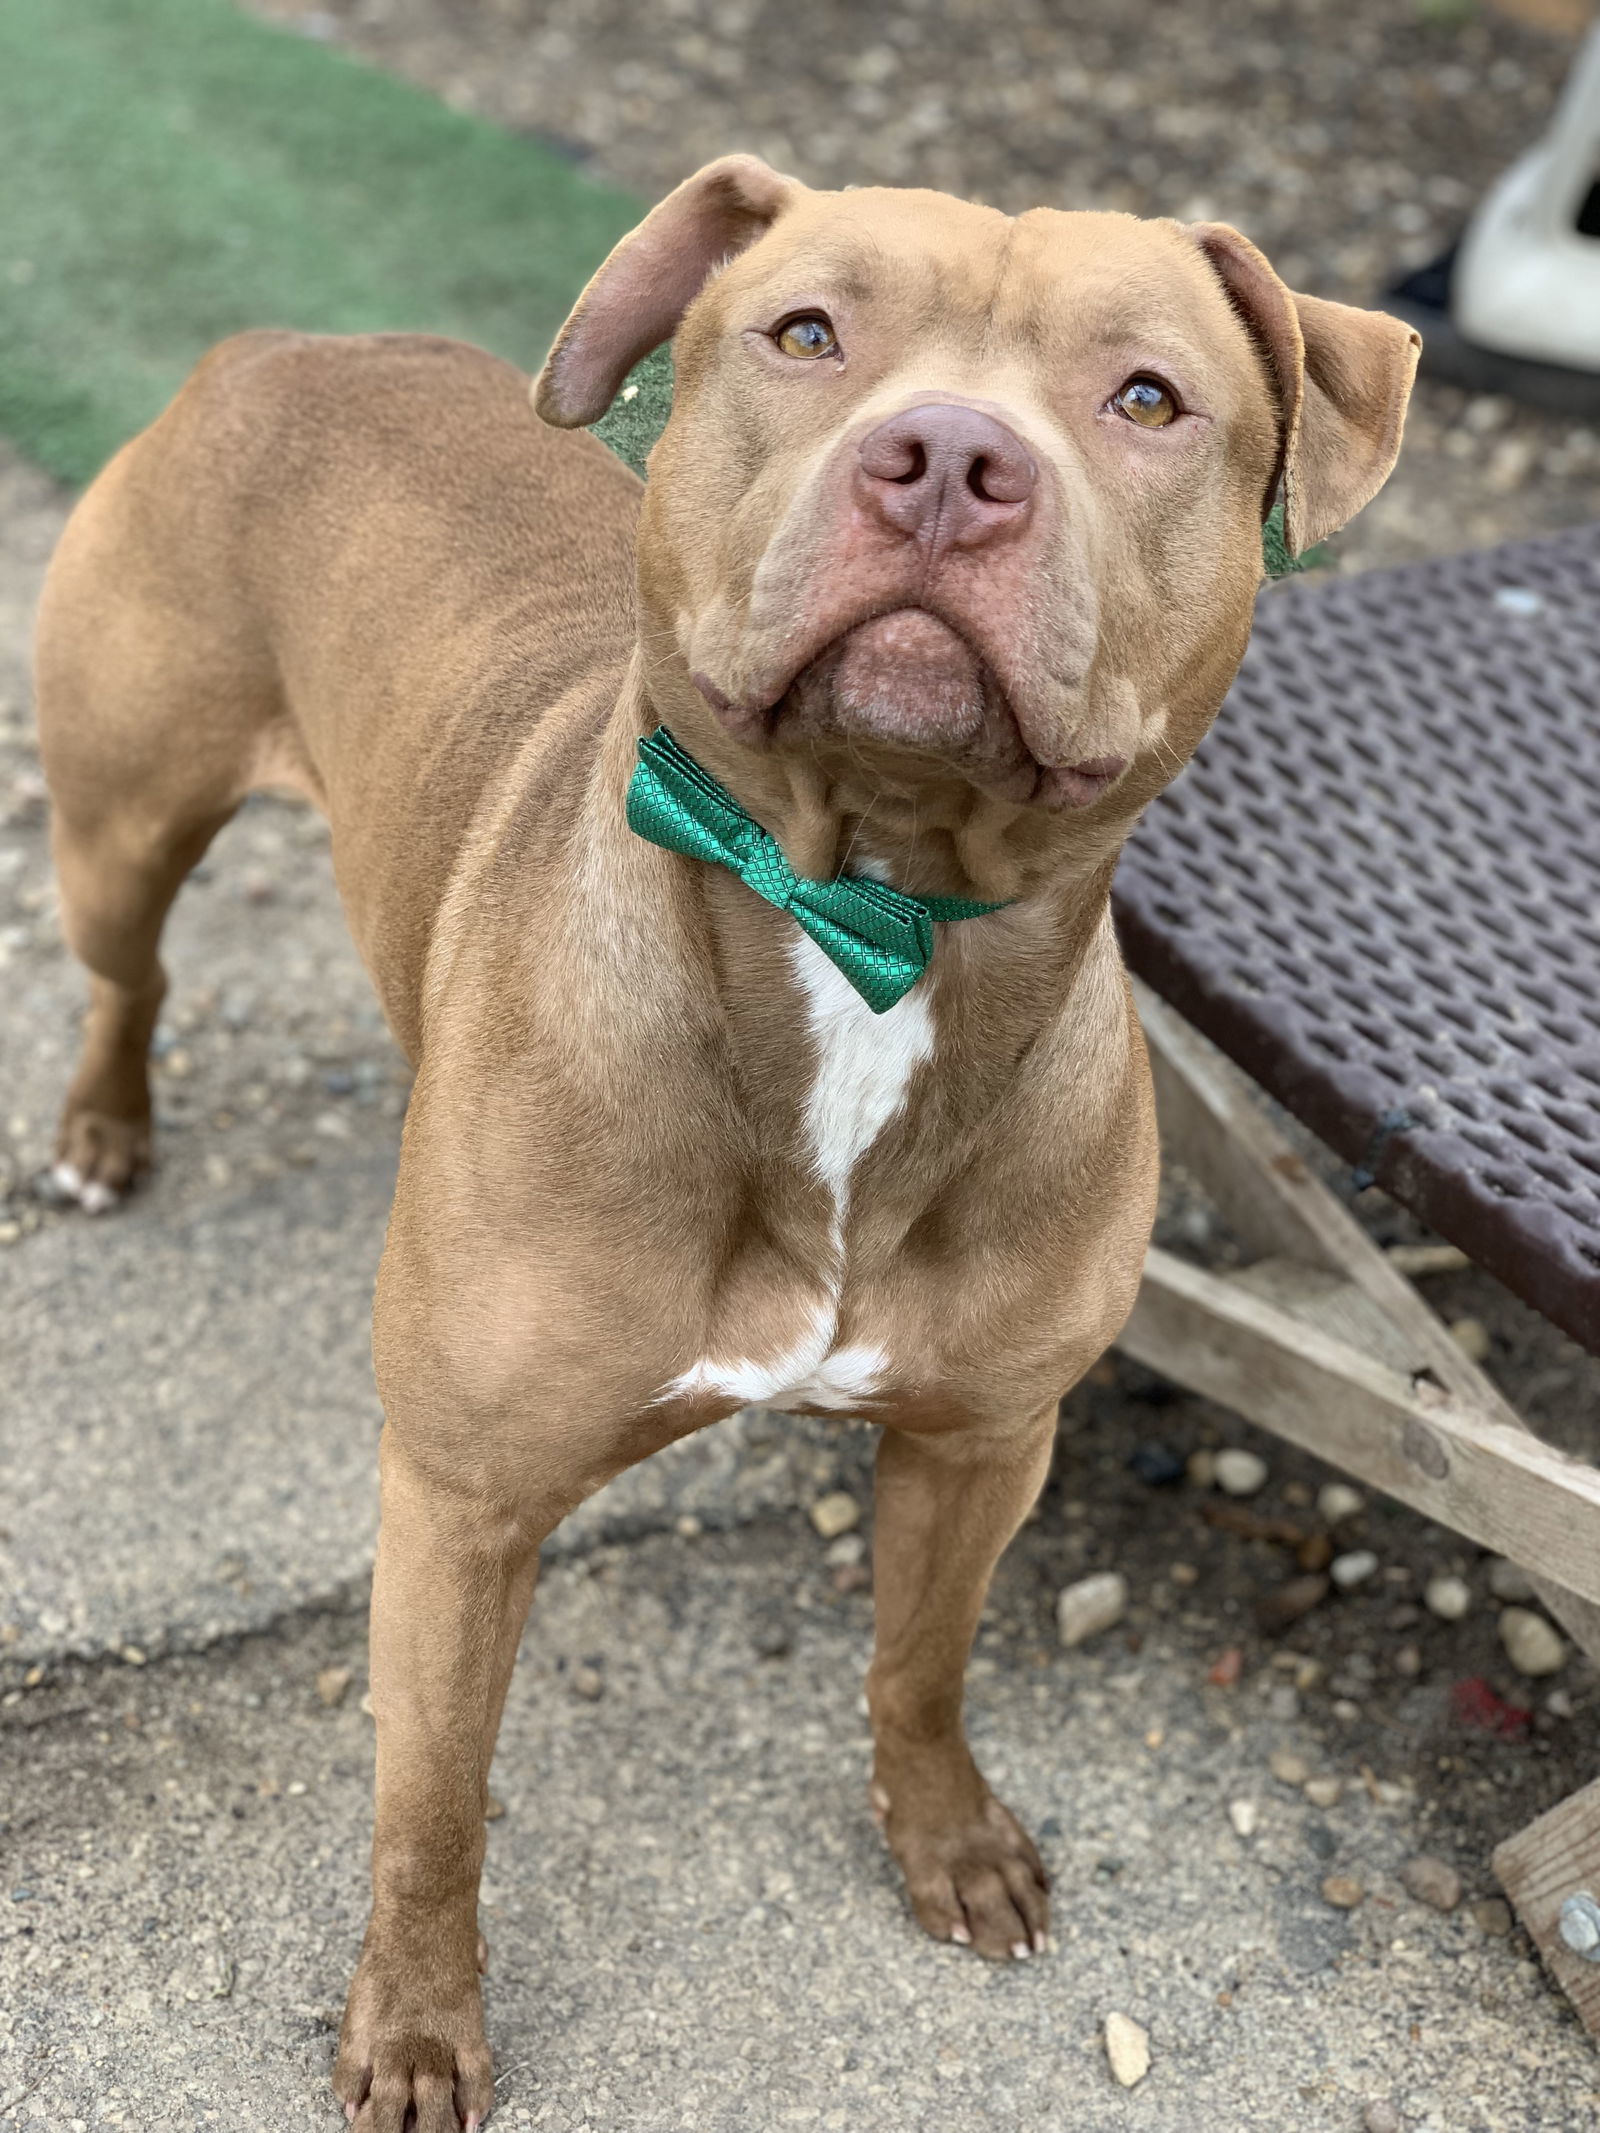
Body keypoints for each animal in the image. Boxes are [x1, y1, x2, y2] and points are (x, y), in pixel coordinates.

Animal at [34, 157, 1416, 2124]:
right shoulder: (461, 1507)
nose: (947, 458)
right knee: (128, 973)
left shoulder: (986, 1437)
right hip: (123, 817)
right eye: (808, 332)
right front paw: (417, 2023)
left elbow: (923, 1660)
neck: (866, 910)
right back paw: (100, 1127)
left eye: (1148, 398)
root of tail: (288, 343)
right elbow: (432, 1801)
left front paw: (950, 1840)